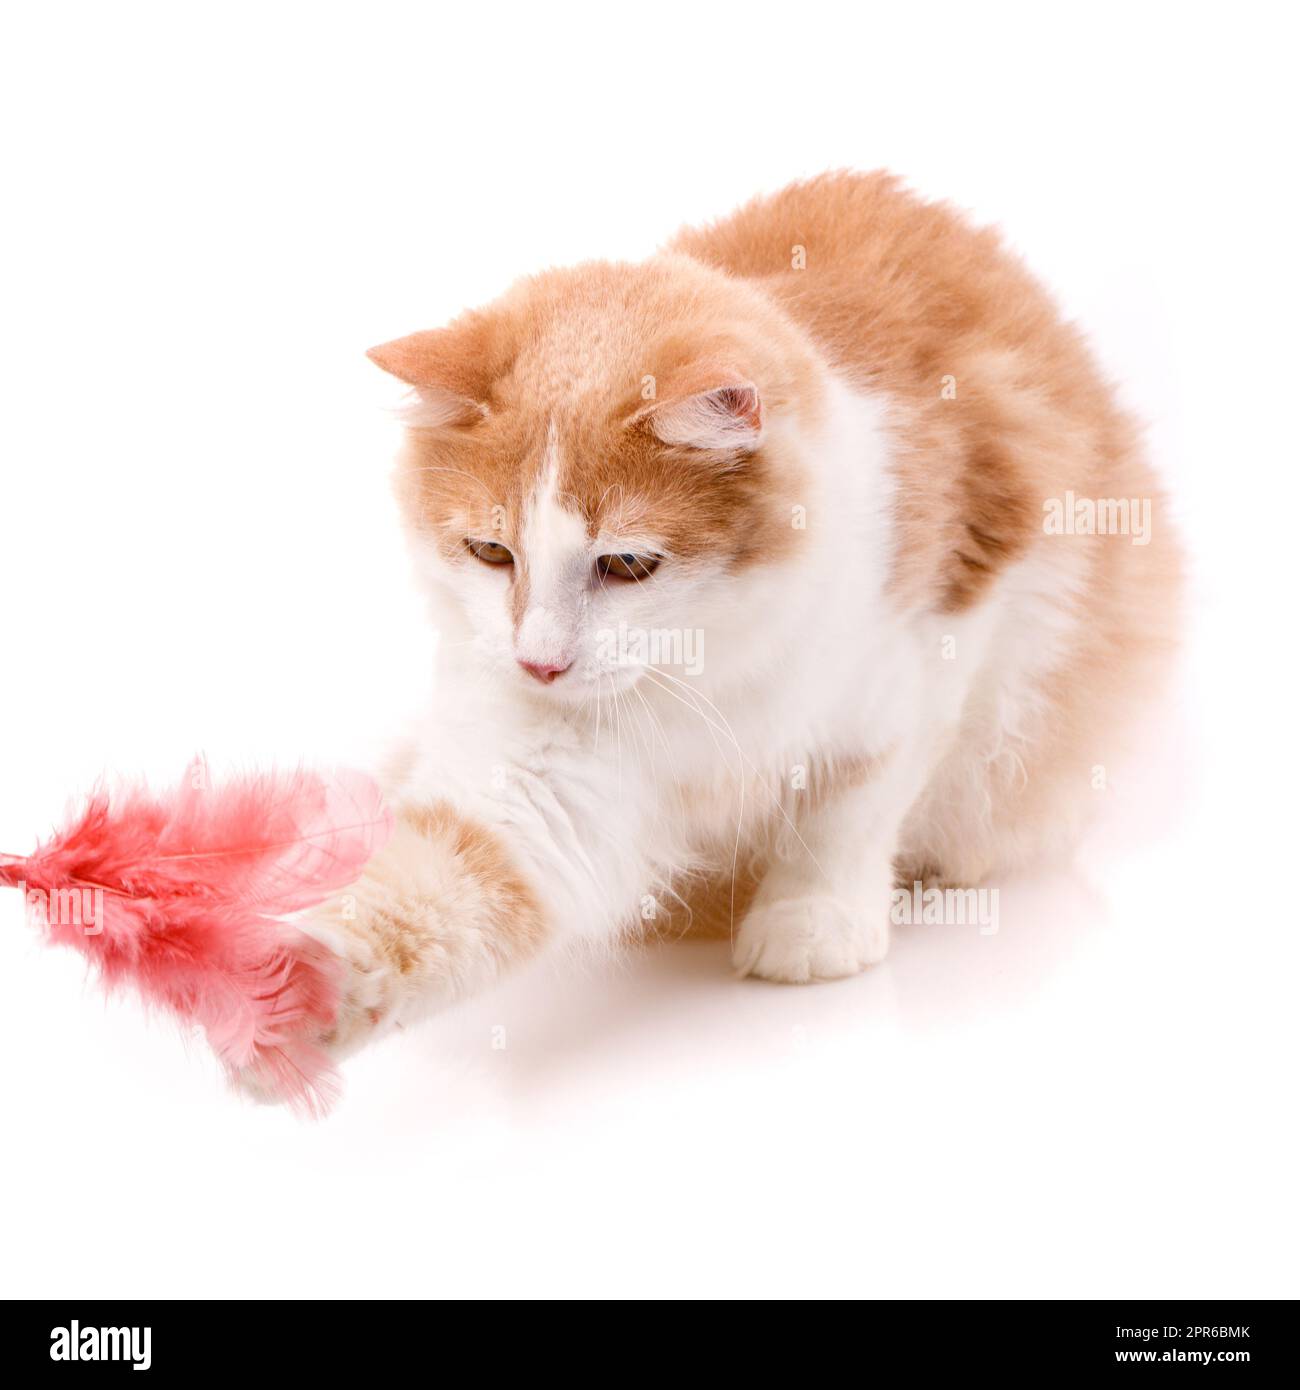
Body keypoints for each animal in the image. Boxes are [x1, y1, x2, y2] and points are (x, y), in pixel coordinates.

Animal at [303, 176, 1179, 1061]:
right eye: (490, 552)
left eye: (626, 564)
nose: (539, 662)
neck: (716, 666)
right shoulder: (537, 765)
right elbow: (448, 873)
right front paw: (305, 985)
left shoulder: (933, 648)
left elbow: (852, 805)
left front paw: (814, 919)